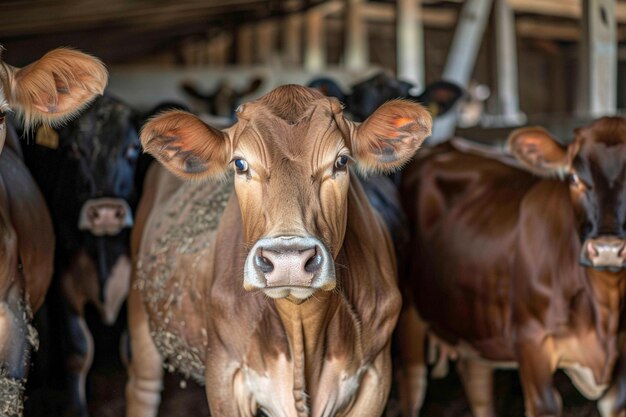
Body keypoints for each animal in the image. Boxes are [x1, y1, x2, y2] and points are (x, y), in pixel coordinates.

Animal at [21, 93, 141, 416]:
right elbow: (78, 350)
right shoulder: (65, 282)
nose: (105, 213)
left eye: (133, 149)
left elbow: (130, 351)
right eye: (73, 150)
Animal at [398, 117, 624, 416]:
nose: (608, 250)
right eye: (574, 178)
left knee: (478, 384)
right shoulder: (530, 342)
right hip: (409, 312)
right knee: (412, 385)